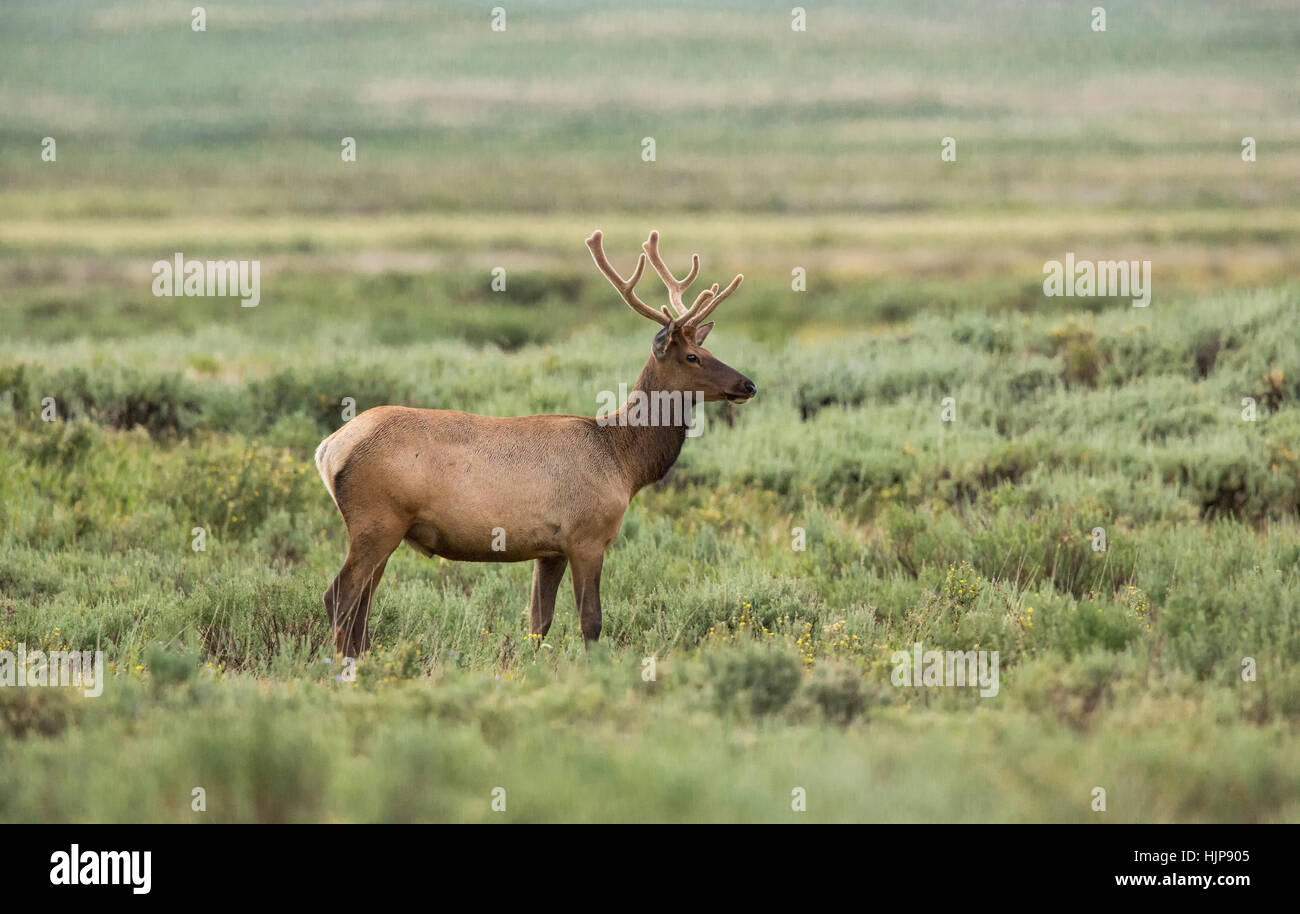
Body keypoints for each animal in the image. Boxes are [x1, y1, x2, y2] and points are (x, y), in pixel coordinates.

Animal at [315, 230, 757, 657]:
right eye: (693, 357)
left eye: (706, 348)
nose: (748, 384)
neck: (623, 462)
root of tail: (329, 448)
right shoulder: (586, 536)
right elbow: (591, 622)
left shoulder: (551, 549)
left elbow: (538, 622)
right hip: (376, 520)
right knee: (339, 595)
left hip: (382, 529)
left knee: (361, 603)